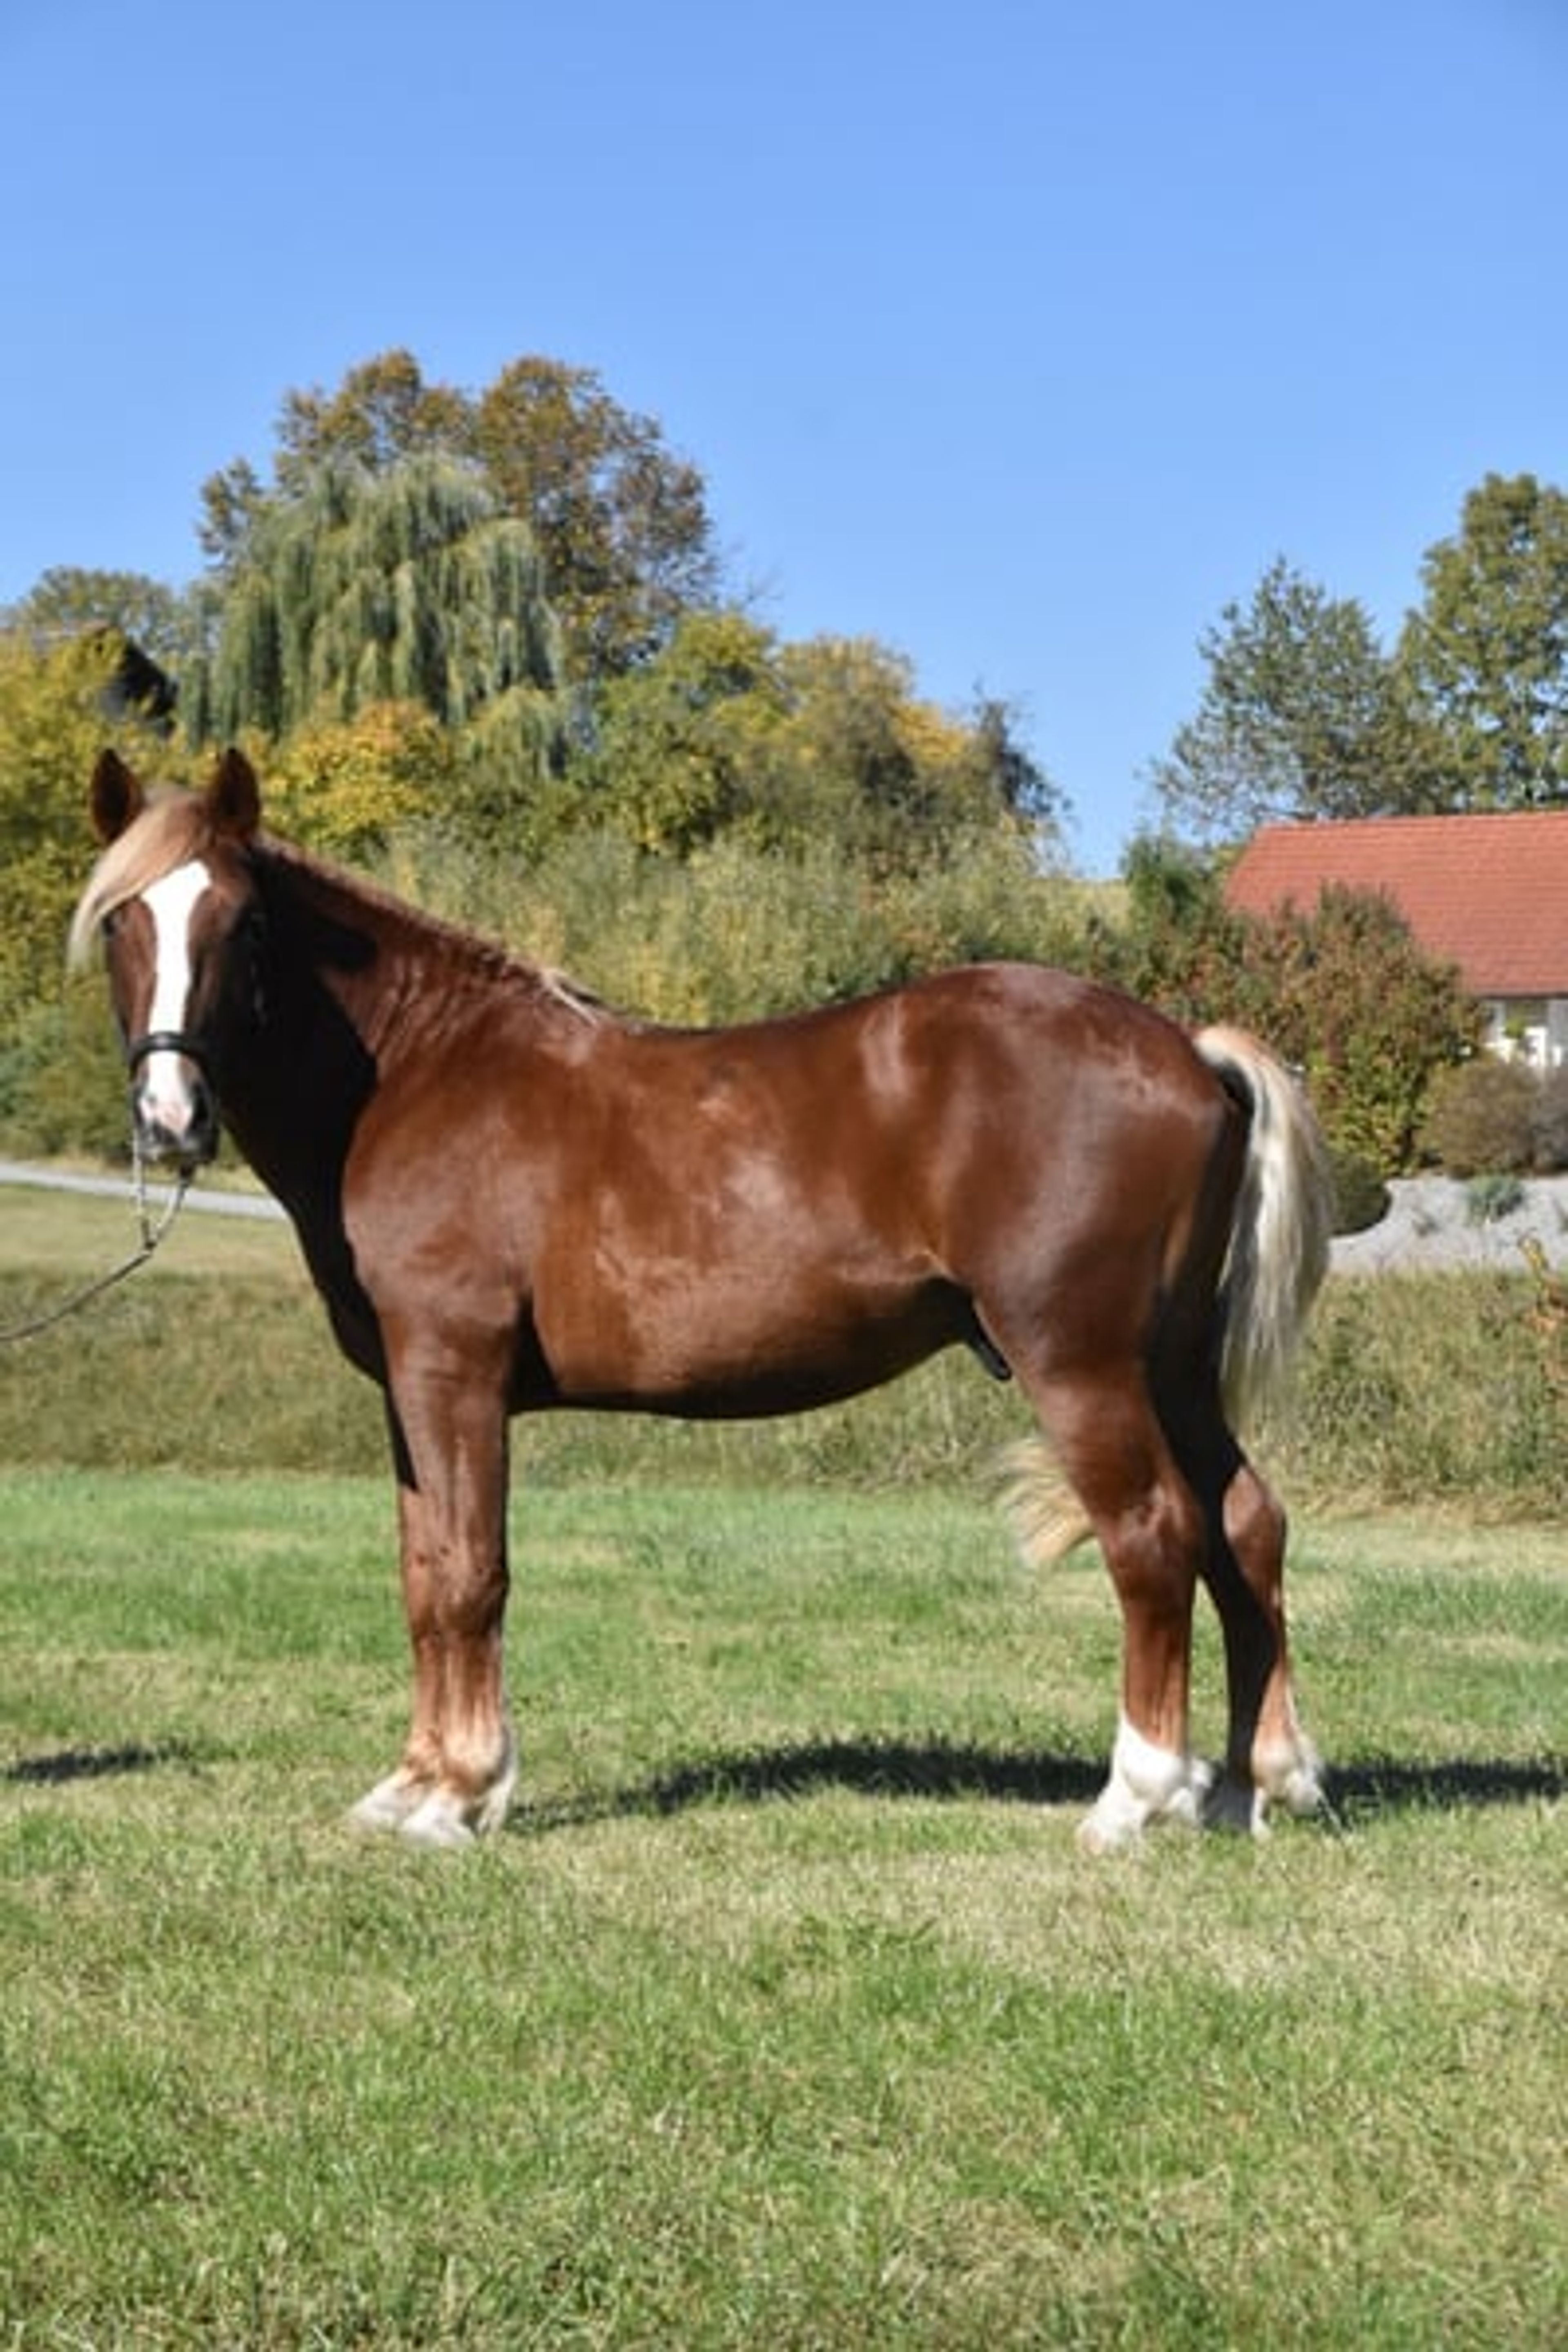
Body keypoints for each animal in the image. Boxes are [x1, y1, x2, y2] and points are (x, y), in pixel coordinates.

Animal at [72, 747, 1334, 1851]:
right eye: (123, 924)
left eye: (242, 923)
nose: (171, 1120)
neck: (418, 1074)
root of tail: (1187, 1051)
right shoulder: (406, 1395)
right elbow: (426, 1573)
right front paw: (413, 1782)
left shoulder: (453, 1372)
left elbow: (474, 1575)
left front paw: (463, 1796)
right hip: (1172, 1367)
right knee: (1243, 1525)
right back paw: (1254, 1783)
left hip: (1081, 1365)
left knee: (1153, 1536)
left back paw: (1135, 1798)